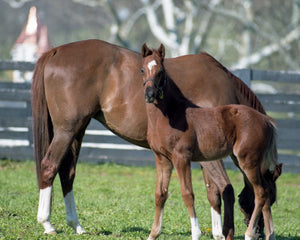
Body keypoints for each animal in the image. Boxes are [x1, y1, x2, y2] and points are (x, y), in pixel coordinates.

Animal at [31, 39, 268, 238]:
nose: (259, 232)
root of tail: (56, 51)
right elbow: (221, 189)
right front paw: (220, 232)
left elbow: (213, 190)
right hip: (66, 130)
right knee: (49, 165)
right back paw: (47, 223)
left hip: (77, 130)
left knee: (67, 173)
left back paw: (76, 225)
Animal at [141, 43, 282, 240]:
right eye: (142, 70)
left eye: (161, 71)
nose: (150, 94)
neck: (171, 115)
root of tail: (266, 120)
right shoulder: (161, 158)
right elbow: (160, 194)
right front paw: (153, 234)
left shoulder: (181, 158)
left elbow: (187, 194)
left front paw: (196, 233)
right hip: (244, 160)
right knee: (265, 192)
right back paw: (268, 234)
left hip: (248, 161)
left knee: (261, 193)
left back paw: (249, 234)